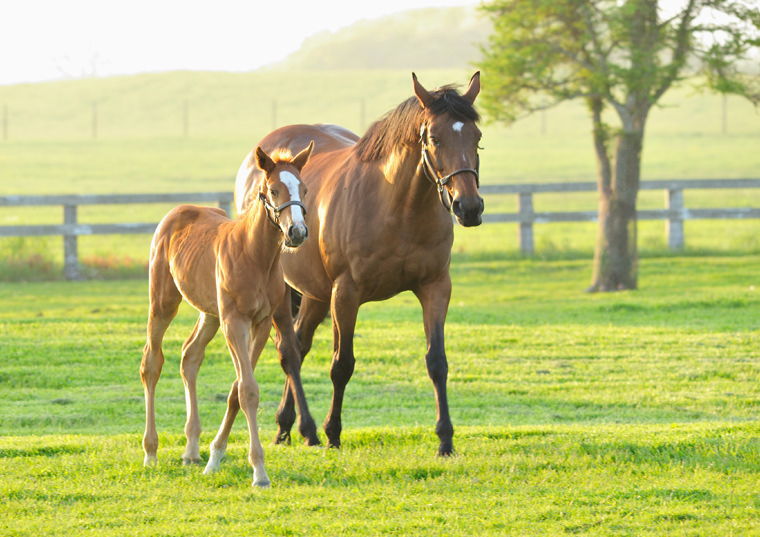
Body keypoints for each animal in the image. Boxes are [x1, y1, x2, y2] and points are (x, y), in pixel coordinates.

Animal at [141, 141, 316, 486]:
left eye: (303, 187)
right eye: (273, 190)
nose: (297, 232)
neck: (255, 255)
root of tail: (177, 212)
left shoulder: (261, 323)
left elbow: (237, 389)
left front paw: (215, 457)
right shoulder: (234, 322)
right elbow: (247, 389)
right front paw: (259, 472)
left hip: (210, 313)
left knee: (190, 356)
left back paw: (191, 450)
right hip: (164, 302)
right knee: (152, 362)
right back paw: (151, 452)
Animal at [233, 71, 480, 454]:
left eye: (477, 137)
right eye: (435, 138)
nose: (468, 207)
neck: (395, 207)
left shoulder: (436, 287)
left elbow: (436, 362)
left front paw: (445, 439)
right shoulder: (346, 294)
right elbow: (342, 365)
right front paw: (333, 432)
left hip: (316, 294)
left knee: (300, 345)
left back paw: (287, 426)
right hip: (288, 290)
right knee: (289, 352)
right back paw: (307, 429)